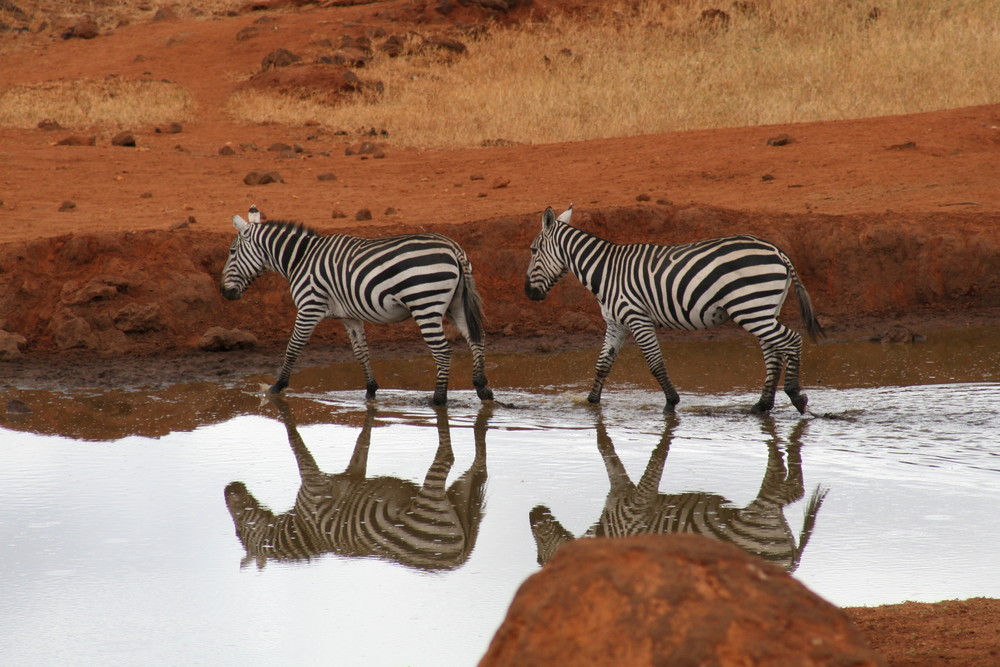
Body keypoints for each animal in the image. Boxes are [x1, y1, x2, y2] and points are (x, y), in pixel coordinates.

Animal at [223, 206, 496, 404]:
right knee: (476, 339)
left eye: (232, 251)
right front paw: (371, 391)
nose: (224, 293)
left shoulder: (309, 307)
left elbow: (293, 347)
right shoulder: (349, 316)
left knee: (442, 351)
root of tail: (454, 248)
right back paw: (482, 388)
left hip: (425, 305)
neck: (300, 259)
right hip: (455, 304)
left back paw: (438, 399)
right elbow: (361, 352)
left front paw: (276, 386)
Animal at [226, 394, 492, 572]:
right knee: (480, 468)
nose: (227, 488)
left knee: (447, 458)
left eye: (238, 531)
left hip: (430, 505)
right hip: (462, 495)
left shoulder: (313, 486)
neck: (303, 527)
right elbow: (363, 441)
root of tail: (459, 558)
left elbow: (296, 444)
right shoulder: (352, 474)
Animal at [528, 205, 824, 412]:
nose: (528, 294)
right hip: (762, 309)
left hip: (751, 308)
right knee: (773, 350)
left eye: (532, 250)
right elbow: (603, 364)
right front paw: (591, 403)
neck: (607, 272)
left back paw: (795, 395)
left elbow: (655, 363)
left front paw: (671, 402)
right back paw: (762, 405)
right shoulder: (616, 323)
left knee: (792, 340)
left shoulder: (637, 318)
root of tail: (777, 251)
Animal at [528, 414, 824, 572]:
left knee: (783, 489)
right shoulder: (619, 494)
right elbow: (607, 450)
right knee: (792, 491)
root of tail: (790, 566)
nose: (533, 513)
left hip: (756, 520)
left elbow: (653, 459)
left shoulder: (635, 504)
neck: (606, 532)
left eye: (540, 556)